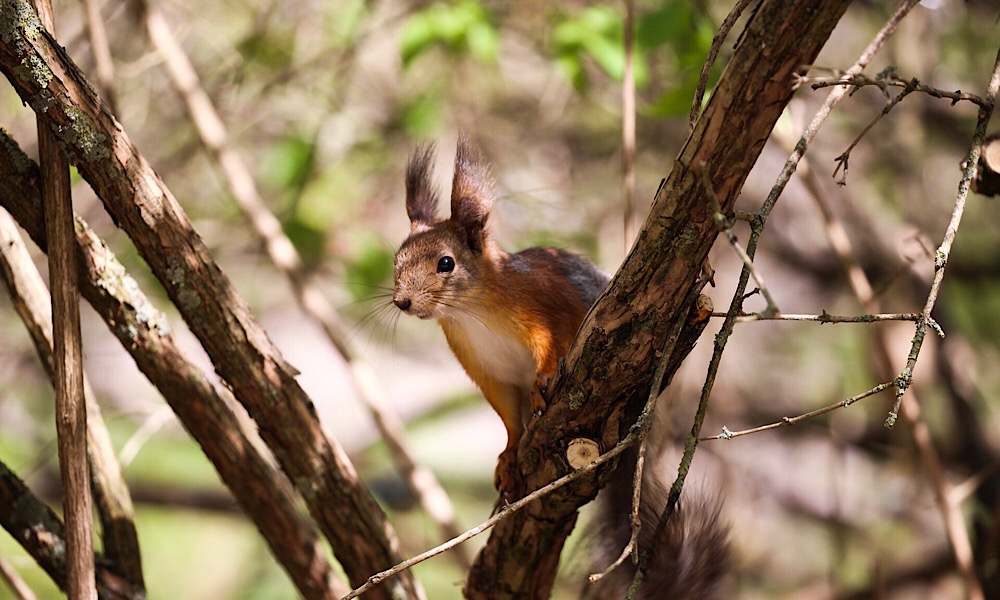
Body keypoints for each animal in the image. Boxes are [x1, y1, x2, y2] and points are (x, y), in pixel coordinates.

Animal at [392, 134, 730, 598]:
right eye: (397, 258)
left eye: (446, 263)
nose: (401, 302)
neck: (471, 312)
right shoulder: (487, 371)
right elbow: (508, 416)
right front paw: (509, 456)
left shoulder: (544, 308)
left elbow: (552, 347)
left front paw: (542, 384)